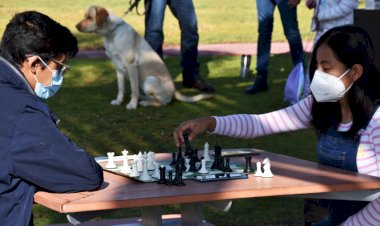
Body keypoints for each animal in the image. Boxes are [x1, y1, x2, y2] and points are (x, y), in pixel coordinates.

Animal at [75, 5, 212, 110]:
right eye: (84, 16)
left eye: (89, 17)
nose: (76, 26)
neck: (111, 34)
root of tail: (174, 91)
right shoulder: (118, 68)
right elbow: (121, 88)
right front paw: (119, 101)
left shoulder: (131, 66)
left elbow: (134, 89)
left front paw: (132, 105)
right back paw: (142, 98)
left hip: (150, 80)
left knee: (161, 102)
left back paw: (144, 102)